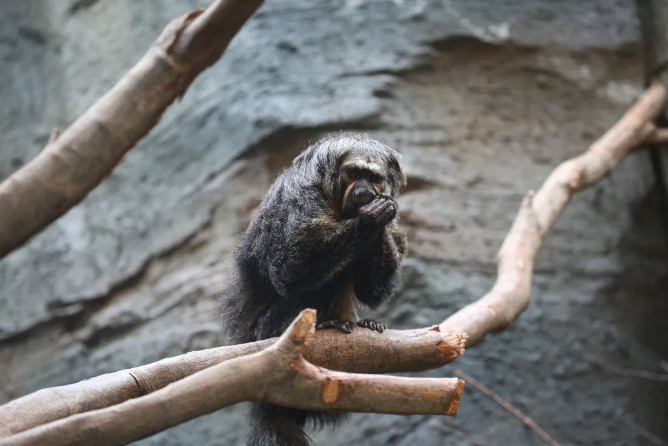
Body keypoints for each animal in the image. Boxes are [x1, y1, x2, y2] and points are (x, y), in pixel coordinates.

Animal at [219, 132, 408, 446]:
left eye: (374, 178)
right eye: (354, 174)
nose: (365, 190)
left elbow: (372, 292)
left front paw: (378, 217)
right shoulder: (302, 197)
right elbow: (291, 270)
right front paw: (370, 219)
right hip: (265, 332)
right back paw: (322, 325)